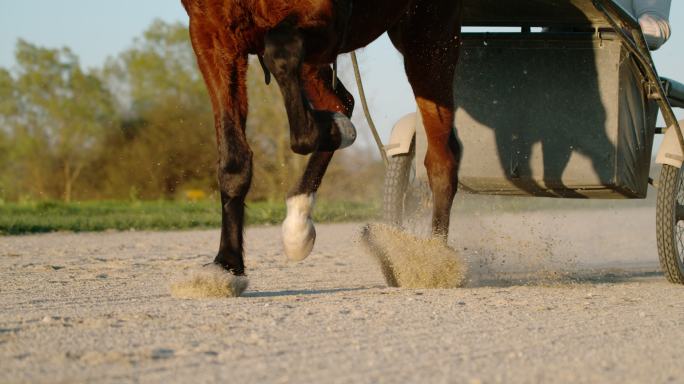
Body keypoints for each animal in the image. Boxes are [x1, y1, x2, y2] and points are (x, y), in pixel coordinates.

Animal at [179, 0, 462, 276]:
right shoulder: (212, 33)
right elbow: (233, 158)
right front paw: (227, 261)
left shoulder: (325, 17)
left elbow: (281, 50)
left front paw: (333, 128)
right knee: (339, 101)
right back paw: (298, 223)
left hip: (429, 36)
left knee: (441, 159)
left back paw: (434, 256)